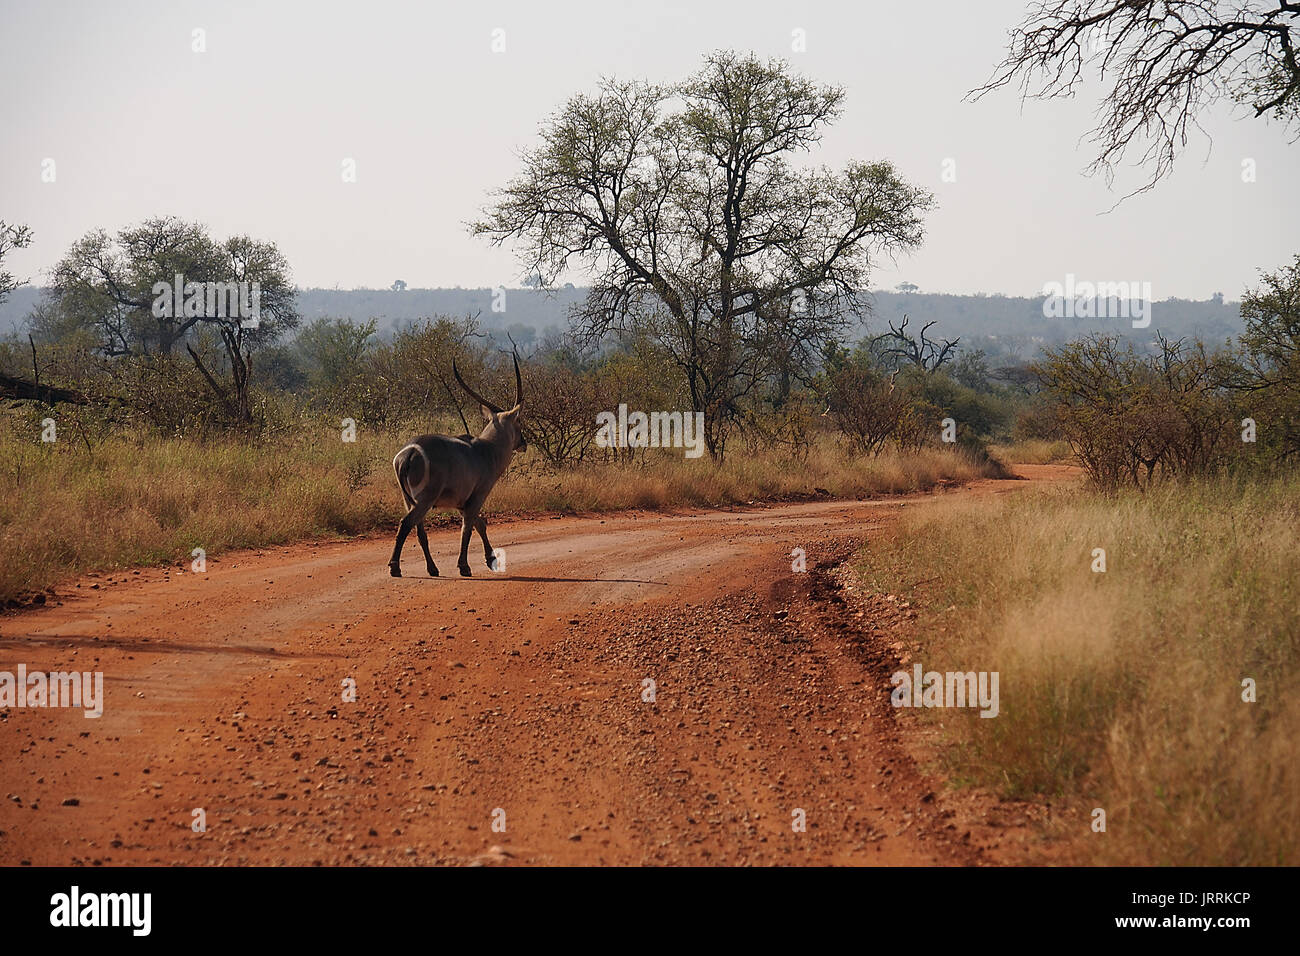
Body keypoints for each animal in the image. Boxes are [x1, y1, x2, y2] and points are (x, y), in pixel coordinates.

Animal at [387, 356, 525, 574]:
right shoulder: (477, 496)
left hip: (409, 499)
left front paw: (490, 559)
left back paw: (432, 569)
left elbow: (480, 524)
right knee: (406, 523)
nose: (524, 442)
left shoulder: (462, 502)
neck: (485, 449)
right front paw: (465, 566)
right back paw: (395, 568)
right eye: (518, 422)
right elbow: (468, 528)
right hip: (425, 500)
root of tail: (409, 453)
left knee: (419, 531)